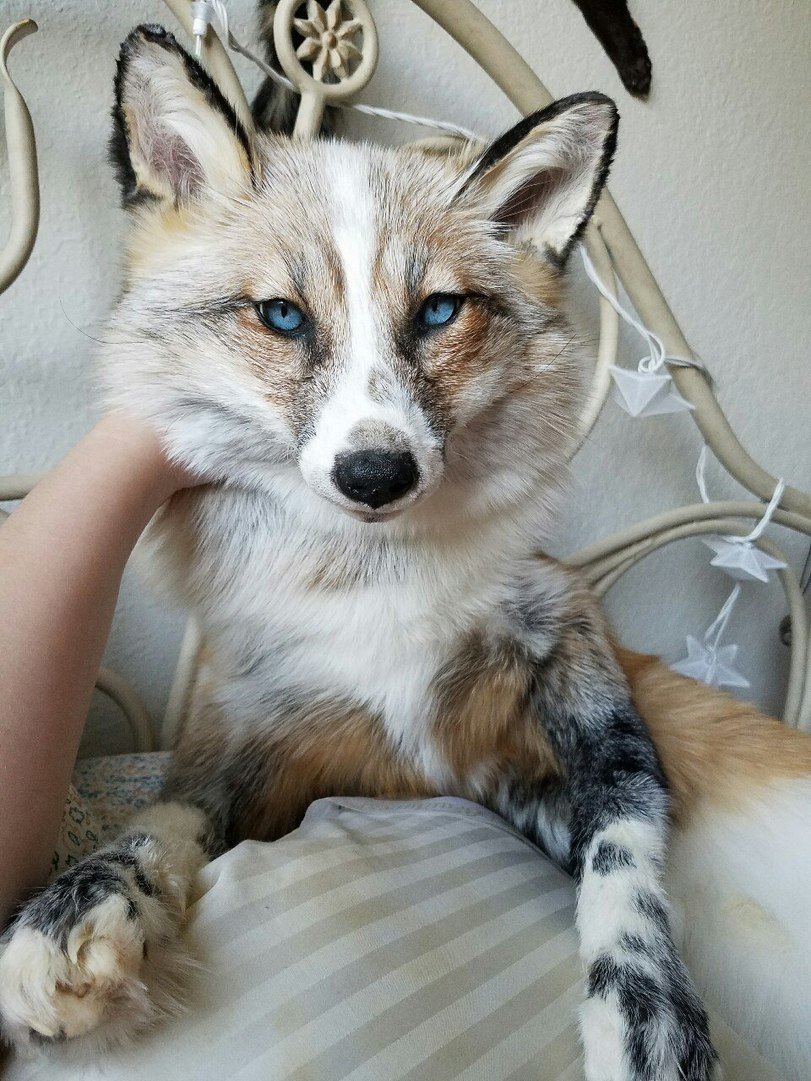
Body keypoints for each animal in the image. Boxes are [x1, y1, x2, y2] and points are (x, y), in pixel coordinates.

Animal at [1, 22, 810, 1081]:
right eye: (282, 315)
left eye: (435, 312)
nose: (375, 473)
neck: (375, 589)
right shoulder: (269, 732)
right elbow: (164, 817)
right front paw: (86, 898)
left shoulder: (573, 677)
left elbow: (624, 852)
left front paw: (645, 1000)